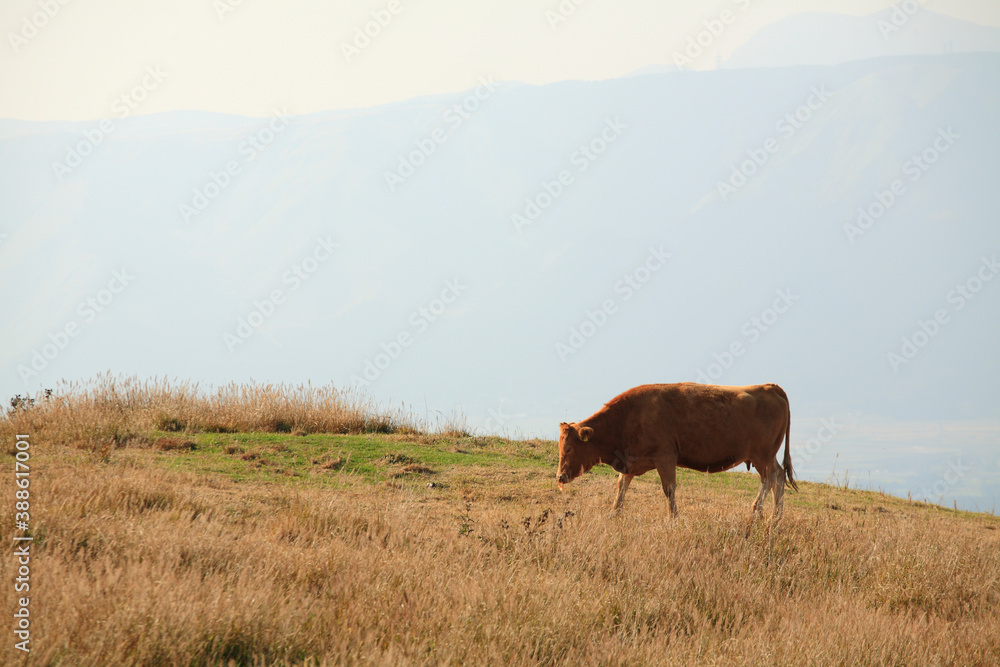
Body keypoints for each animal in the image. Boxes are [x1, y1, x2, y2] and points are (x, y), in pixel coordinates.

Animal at [556, 384, 796, 520]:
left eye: (568, 448)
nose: (559, 476)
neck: (628, 416)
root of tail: (770, 387)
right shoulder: (631, 462)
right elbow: (621, 486)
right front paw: (613, 512)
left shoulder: (665, 458)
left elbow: (669, 489)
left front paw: (673, 517)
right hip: (765, 457)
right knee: (778, 478)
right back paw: (776, 517)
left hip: (762, 456)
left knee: (770, 478)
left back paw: (757, 510)